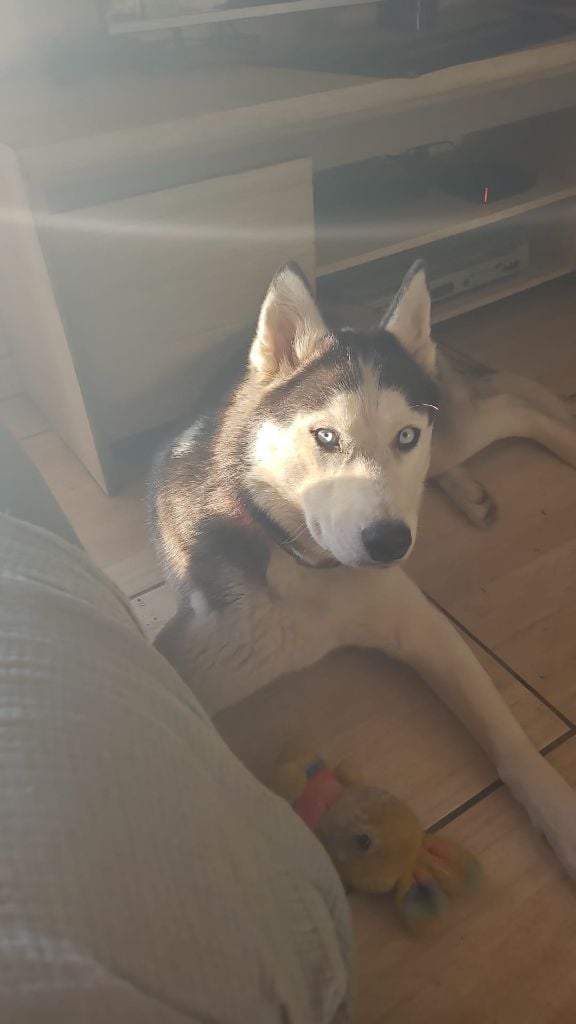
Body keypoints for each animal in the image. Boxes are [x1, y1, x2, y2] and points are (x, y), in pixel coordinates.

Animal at [149, 260, 576, 877]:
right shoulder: (189, 668)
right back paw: (469, 493)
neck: (307, 567)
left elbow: (510, 740)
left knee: (509, 406)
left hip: (451, 433)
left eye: (405, 436)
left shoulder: (424, 630)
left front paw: (562, 818)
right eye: (326, 436)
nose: (391, 543)